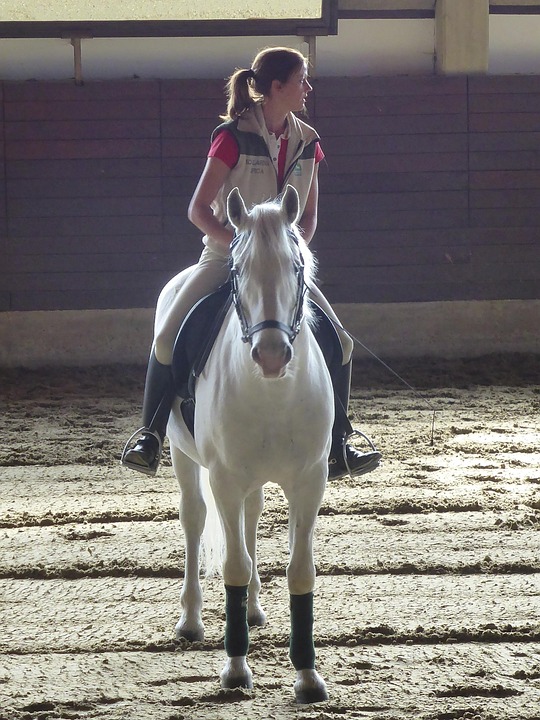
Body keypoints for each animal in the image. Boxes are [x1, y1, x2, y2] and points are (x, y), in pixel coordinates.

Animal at [164, 185, 335, 704]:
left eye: (296, 266)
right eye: (237, 270)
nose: (272, 354)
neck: (272, 391)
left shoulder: (310, 480)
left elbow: (301, 571)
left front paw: (307, 675)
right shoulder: (223, 478)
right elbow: (233, 567)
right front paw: (236, 669)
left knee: (252, 517)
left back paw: (255, 610)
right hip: (183, 458)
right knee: (195, 520)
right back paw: (192, 620)